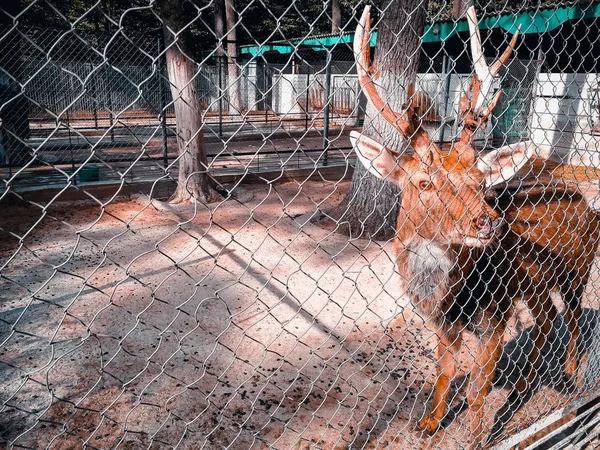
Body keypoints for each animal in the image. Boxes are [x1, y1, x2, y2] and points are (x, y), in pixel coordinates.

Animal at [352, 5, 600, 448]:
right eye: (424, 182)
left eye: (480, 181)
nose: (488, 222)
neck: (452, 297)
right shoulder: (445, 324)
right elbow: (445, 371)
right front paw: (428, 423)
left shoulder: (495, 318)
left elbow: (477, 387)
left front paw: (477, 436)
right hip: (535, 285)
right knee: (546, 320)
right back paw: (524, 385)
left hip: (578, 270)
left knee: (570, 318)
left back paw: (571, 373)